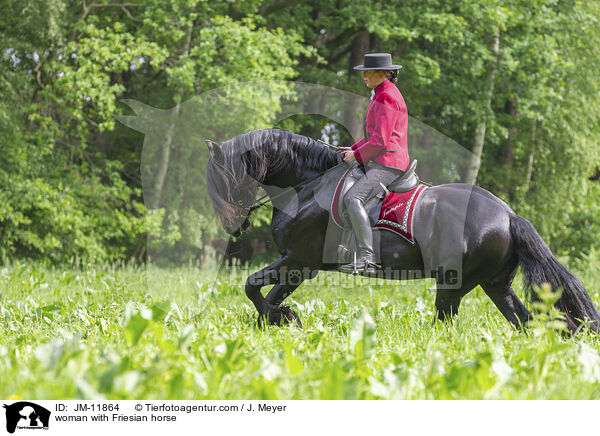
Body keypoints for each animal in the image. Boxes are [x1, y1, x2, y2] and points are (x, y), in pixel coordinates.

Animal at [207, 127, 600, 332]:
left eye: (223, 178)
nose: (234, 226)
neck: (308, 185)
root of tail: (507, 214)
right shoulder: (297, 265)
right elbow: (264, 293)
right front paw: (281, 321)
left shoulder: (299, 262)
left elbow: (254, 288)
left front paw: (282, 318)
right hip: (495, 284)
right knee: (524, 321)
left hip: (454, 285)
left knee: (447, 323)